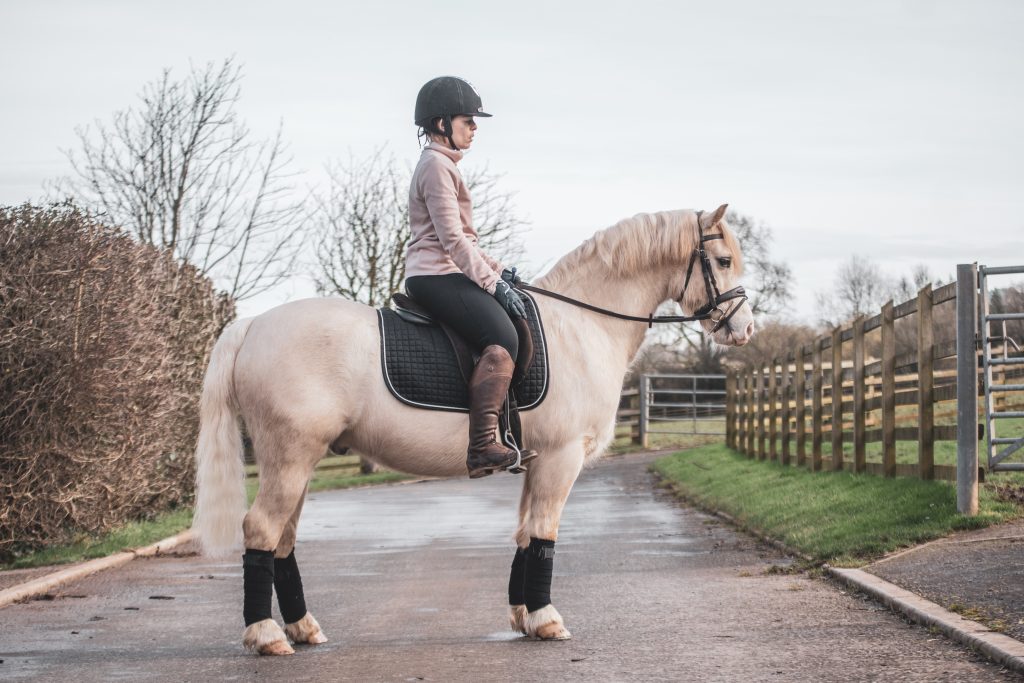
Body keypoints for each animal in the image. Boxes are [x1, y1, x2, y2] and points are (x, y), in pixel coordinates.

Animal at [192, 204, 755, 655]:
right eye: (723, 261)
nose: (745, 329)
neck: (581, 326)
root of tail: (254, 325)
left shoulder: (537, 460)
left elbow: (526, 535)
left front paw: (524, 617)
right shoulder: (561, 457)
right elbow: (545, 532)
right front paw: (547, 620)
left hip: (299, 462)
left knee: (283, 539)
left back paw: (303, 629)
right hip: (289, 458)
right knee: (260, 530)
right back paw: (267, 635)